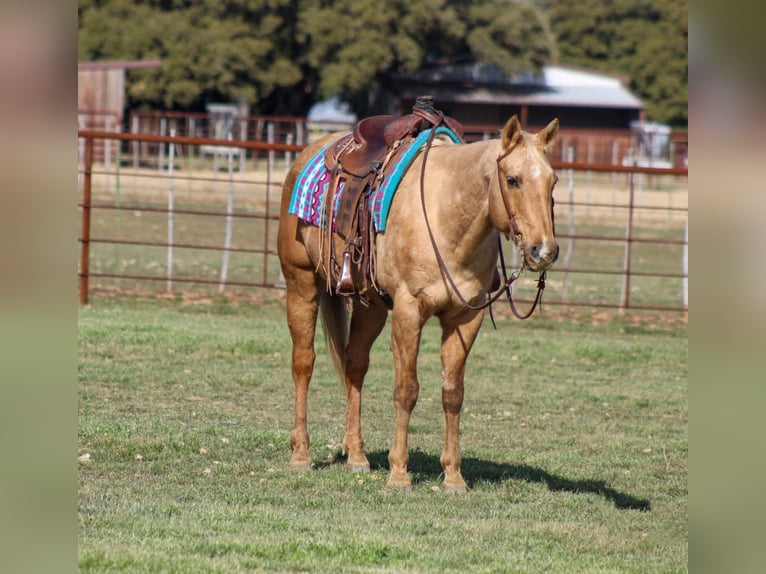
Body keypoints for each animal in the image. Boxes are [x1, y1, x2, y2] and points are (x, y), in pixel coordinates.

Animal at [277, 114, 560, 492]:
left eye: (553, 181)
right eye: (512, 180)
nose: (544, 251)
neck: (447, 218)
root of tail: (310, 151)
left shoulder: (464, 318)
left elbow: (453, 393)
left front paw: (453, 477)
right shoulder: (409, 312)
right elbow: (406, 390)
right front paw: (399, 473)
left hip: (371, 306)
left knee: (355, 364)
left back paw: (357, 456)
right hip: (301, 282)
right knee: (303, 362)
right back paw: (300, 455)